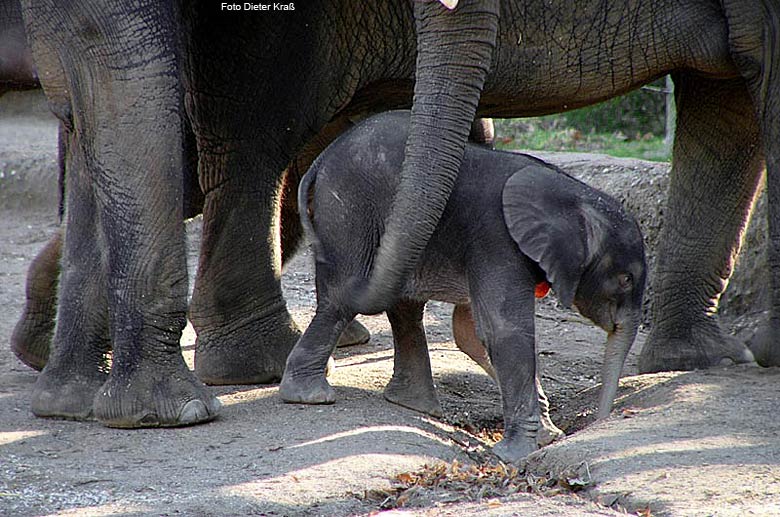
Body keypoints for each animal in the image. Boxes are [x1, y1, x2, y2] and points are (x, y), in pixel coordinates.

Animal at [21, 0, 776, 428]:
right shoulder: (496, 246)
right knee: (256, 129)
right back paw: (237, 395)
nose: (596, 421)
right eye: (618, 283)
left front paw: (702, 363)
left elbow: (728, 105)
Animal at [280, 110, 644, 464]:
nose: (598, 421)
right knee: (341, 297)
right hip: (351, 213)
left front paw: (548, 435)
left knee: (399, 305)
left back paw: (413, 404)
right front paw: (517, 454)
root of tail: (321, 160)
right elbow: (502, 332)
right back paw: (311, 396)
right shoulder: (497, 239)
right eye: (625, 280)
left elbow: (470, 332)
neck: (574, 194)